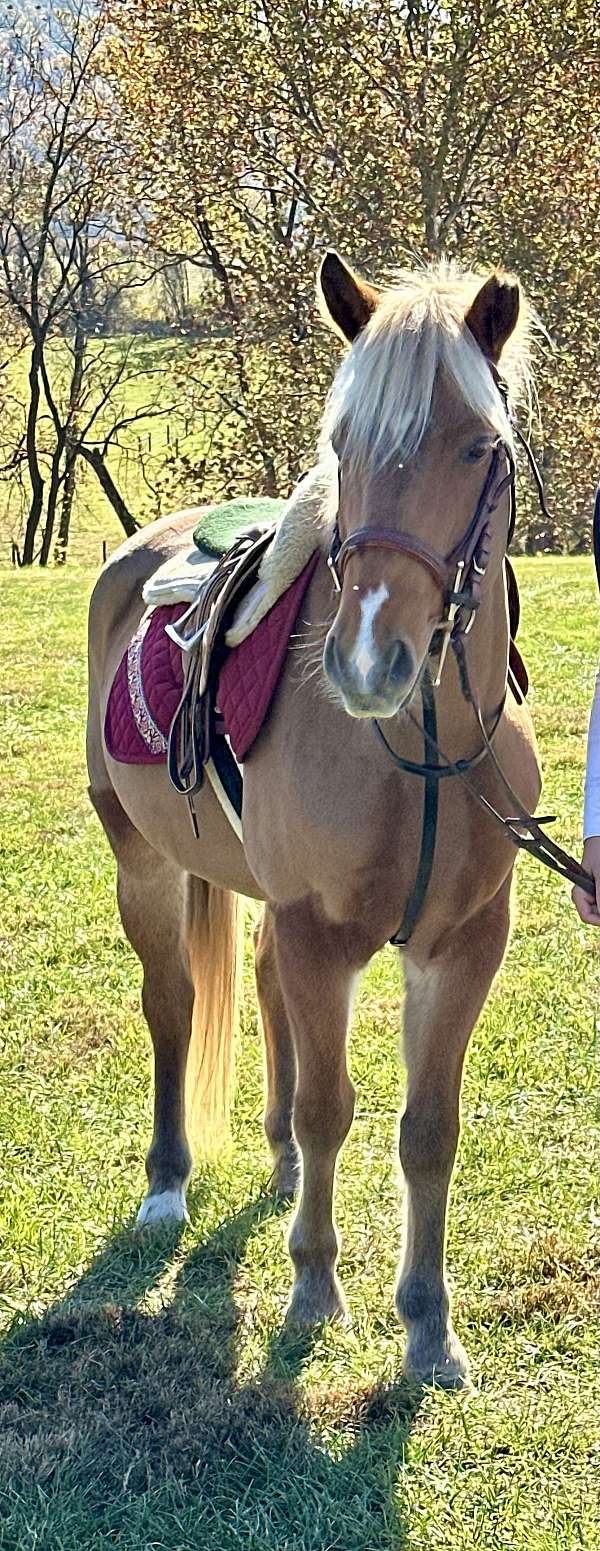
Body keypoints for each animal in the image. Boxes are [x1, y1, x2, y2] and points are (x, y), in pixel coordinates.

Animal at [86, 257, 542, 1395]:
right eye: (343, 445)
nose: (369, 660)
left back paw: (281, 1164)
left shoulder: (465, 947)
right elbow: (333, 1106)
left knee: (255, 986)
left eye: (478, 449)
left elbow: (428, 1130)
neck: (417, 750)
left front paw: (427, 1327)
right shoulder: (320, 938)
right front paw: (314, 1290)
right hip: (142, 867)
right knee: (172, 1005)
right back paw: (169, 1184)